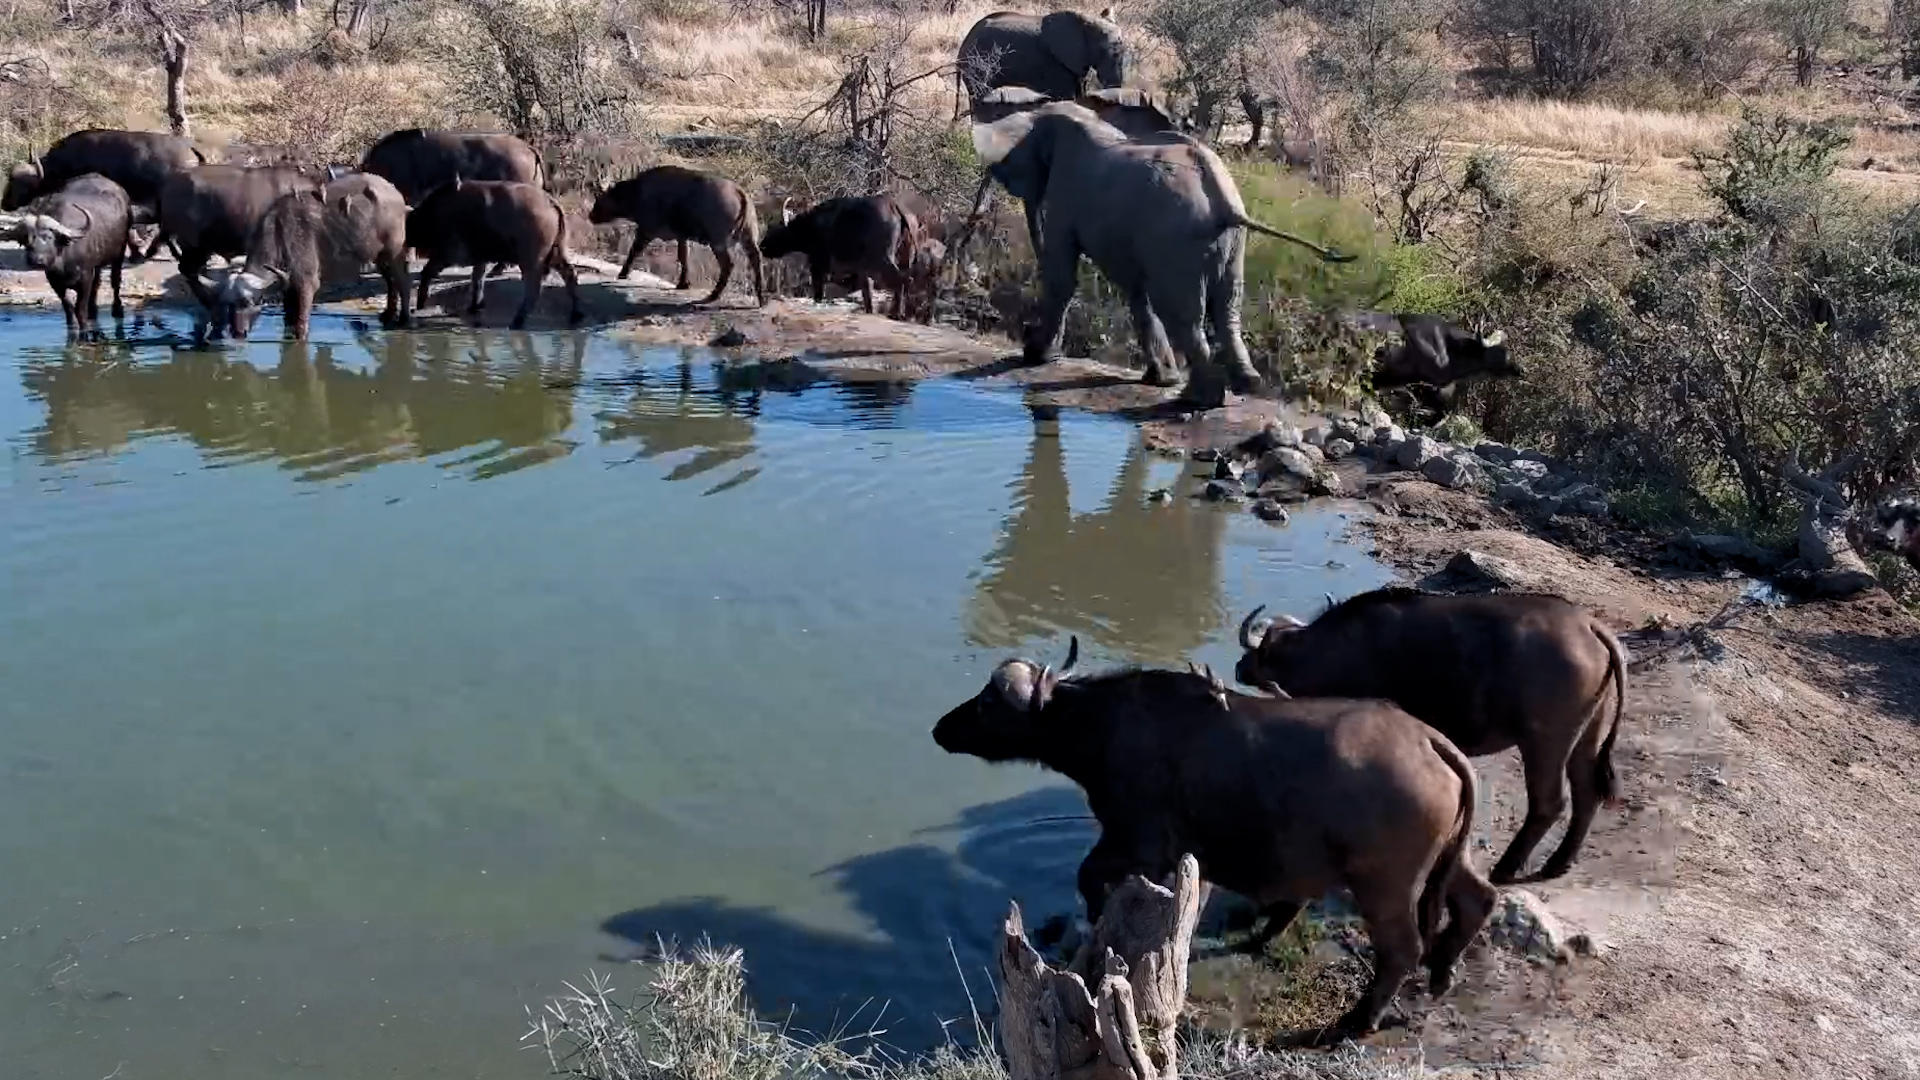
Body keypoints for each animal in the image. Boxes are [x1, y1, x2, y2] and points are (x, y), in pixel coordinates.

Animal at [973, 104, 1354, 409]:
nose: (1025, 334)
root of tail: (1223, 200)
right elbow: (1134, 288)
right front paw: (1161, 379)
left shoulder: (1066, 195)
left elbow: (1064, 275)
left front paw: (1035, 357)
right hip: (1228, 244)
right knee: (1226, 308)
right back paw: (1247, 384)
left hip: (1178, 240)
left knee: (1184, 315)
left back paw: (1198, 400)